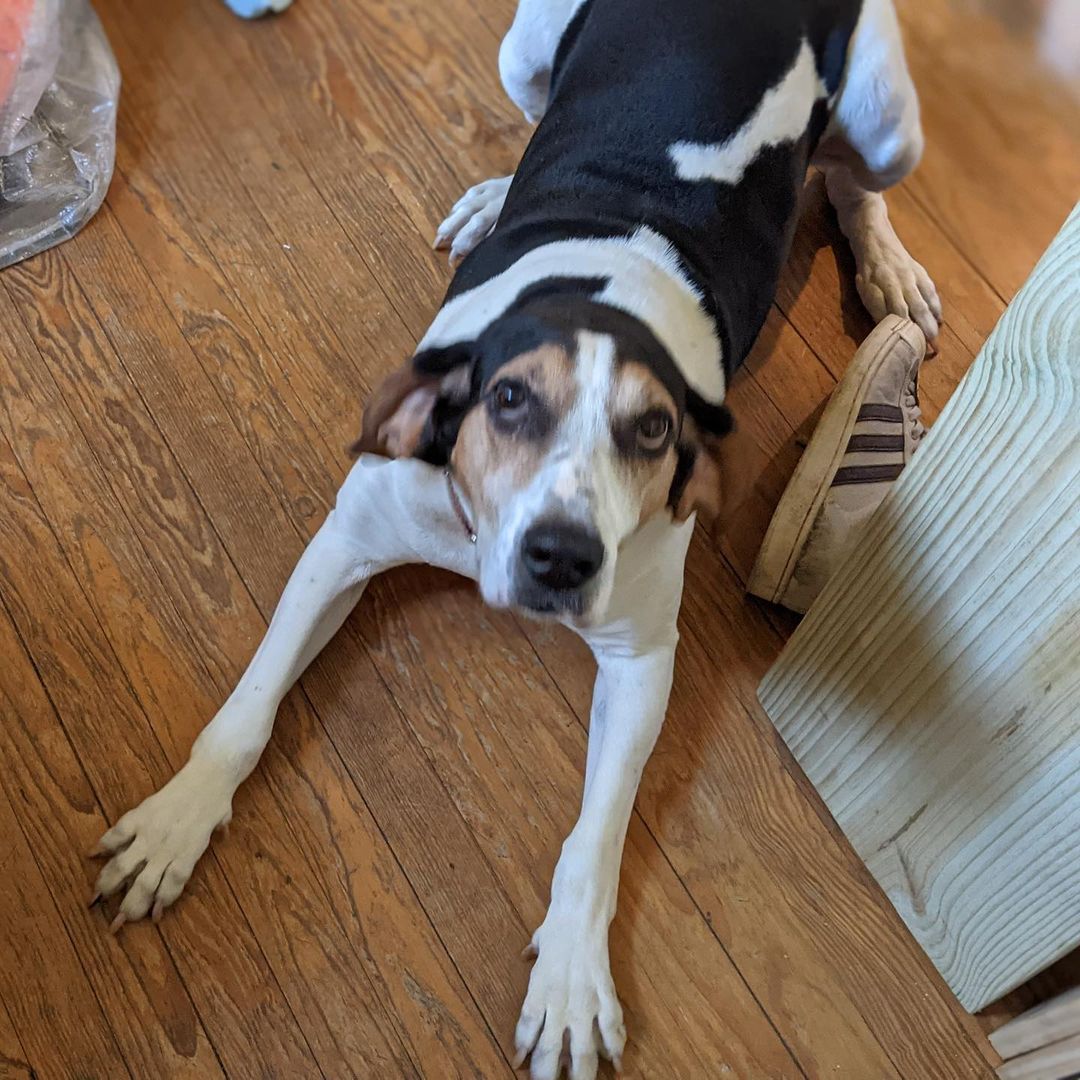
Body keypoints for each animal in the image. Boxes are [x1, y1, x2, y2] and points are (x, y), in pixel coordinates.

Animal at [90, 0, 937, 1075]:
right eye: (507, 400)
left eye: (652, 431)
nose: (563, 559)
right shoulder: (343, 547)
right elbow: (245, 712)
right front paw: (176, 823)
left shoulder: (642, 658)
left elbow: (596, 838)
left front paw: (572, 975)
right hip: (525, 49)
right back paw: (496, 198)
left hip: (888, 124)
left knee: (855, 180)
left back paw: (888, 265)